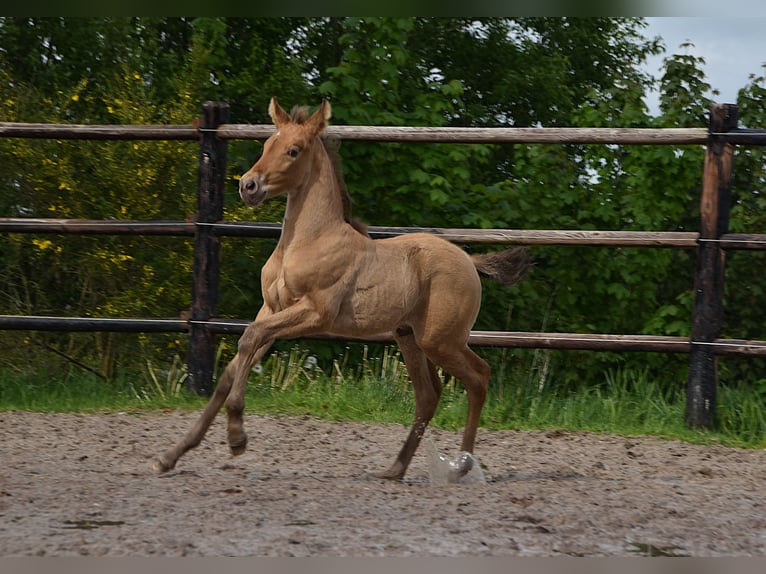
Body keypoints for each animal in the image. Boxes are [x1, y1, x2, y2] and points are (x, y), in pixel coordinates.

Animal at [153, 97, 529, 480]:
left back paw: (461, 466)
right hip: (409, 336)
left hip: (441, 340)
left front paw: (237, 438)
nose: (249, 186)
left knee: (478, 378)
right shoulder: (272, 309)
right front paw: (171, 455)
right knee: (428, 394)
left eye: (293, 150)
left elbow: (250, 338)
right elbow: (233, 367)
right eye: (267, 144)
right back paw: (395, 469)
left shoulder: (316, 313)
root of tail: (470, 261)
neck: (307, 240)